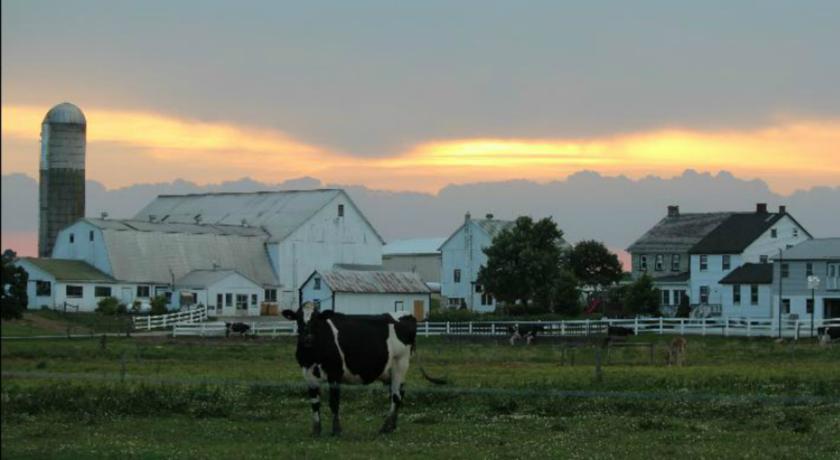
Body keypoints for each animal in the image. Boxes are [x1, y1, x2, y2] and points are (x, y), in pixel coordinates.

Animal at [282, 302, 442, 434]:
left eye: (316, 320)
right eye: (298, 319)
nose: (307, 339)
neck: (314, 353)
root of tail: (406, 315)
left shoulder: (335, 373)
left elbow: (334, 402)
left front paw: (336, 430)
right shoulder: (308, 374)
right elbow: (315, 403)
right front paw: (316, 430)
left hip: (400, 363)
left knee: (396, 396)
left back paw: (386, 427)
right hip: (389, 370)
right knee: (399, 392)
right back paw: (393, 425)